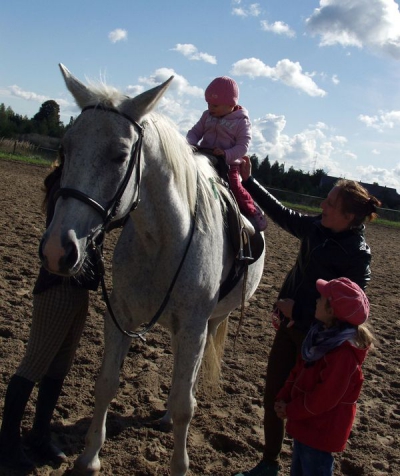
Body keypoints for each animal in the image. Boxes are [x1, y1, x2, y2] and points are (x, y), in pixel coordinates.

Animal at [40, 64, 266, 476]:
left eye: (120, 155)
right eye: (66, 148)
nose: (56, 250)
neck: (163, 239)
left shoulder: (193, 326)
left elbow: (184, 405)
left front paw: (179, 464)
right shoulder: (120, 317)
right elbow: (106, 383)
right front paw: (89, 458)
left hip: (208, 322)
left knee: (187, 383)